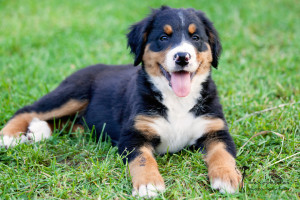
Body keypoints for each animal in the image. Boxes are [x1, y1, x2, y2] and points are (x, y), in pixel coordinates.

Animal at [0, 5, 241, 197]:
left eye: (196, 38)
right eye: (163, 38)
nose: (182, 57)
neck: (177, 100)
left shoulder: (216, 129)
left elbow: (223, 153)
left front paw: (227, 178)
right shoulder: (133, 135)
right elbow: (143, 159)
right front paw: (149, 185)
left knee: (71, 124)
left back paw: (38, 131)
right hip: (72, 94)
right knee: (29, 109)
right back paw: (9, 137)